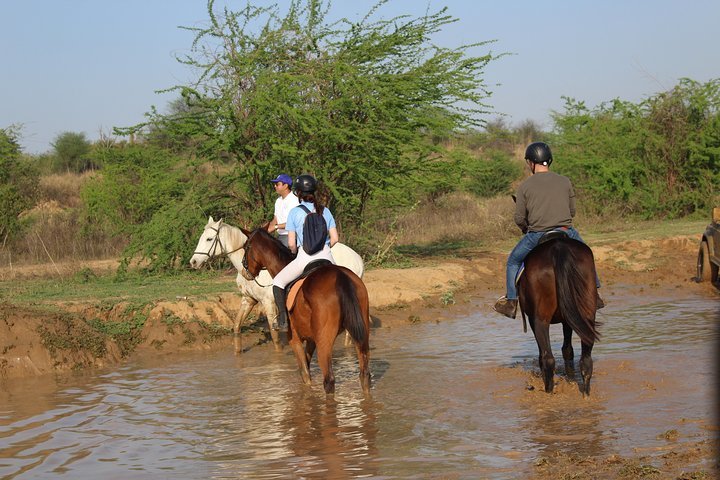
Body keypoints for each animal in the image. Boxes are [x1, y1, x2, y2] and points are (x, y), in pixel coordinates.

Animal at [189, 216, 364, 353]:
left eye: (209, 239)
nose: (193, 262)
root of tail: (358, 258)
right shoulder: (248, 300)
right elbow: (237, 326)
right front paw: (238, 354)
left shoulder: (269, 303)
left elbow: (275, 336)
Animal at [239, 227, 371, 395]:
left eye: (246, 247)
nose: (245, 272)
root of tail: (341, 277)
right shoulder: (311, 339)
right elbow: (306, 367)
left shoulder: (294, 338)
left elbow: (305, 374)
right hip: (362, 333)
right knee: (364, 375)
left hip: (325, 341)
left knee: (329, 380)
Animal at [517, 235, 600, 397]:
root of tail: (558, 248)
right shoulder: (568, 319)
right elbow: (568, 350)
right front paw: (571, 378)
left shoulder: (532, 319)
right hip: (586, 314)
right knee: (586, 359)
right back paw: (586, 394)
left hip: (540, 319)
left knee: (548, 358)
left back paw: (548, 391)